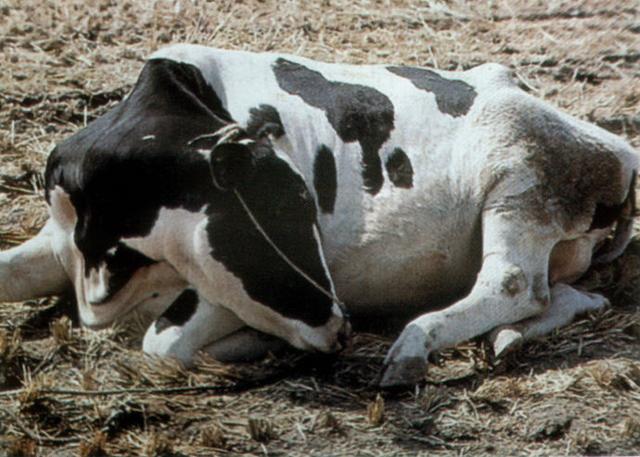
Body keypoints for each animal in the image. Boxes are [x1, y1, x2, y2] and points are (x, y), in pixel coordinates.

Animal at [0, 43, 636, 388]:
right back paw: (507, 339)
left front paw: (254, 341)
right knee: (564, 294)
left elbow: (164, 342)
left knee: (513, 283)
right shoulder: (59, 242)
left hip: (521, 174)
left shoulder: (222, 289)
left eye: (304, 204)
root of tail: (619, 151)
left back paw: (412, 347)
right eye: (283, 206)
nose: (340, 326)